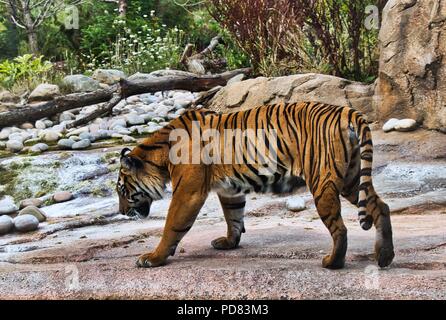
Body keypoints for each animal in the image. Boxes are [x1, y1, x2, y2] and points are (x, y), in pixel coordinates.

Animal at [116, 102, 396, 270]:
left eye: (122, 191)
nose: (121, 212)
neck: (160, 154)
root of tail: (346, 111)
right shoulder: (230, 189)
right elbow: (234, 217)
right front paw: (229, 242)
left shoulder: (188, 192)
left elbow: (172, 225)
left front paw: (153, 257)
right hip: (352, 179)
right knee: (380, 206)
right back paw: (385, 256)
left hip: (323, 182)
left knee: (340, 228)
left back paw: (332, 262)